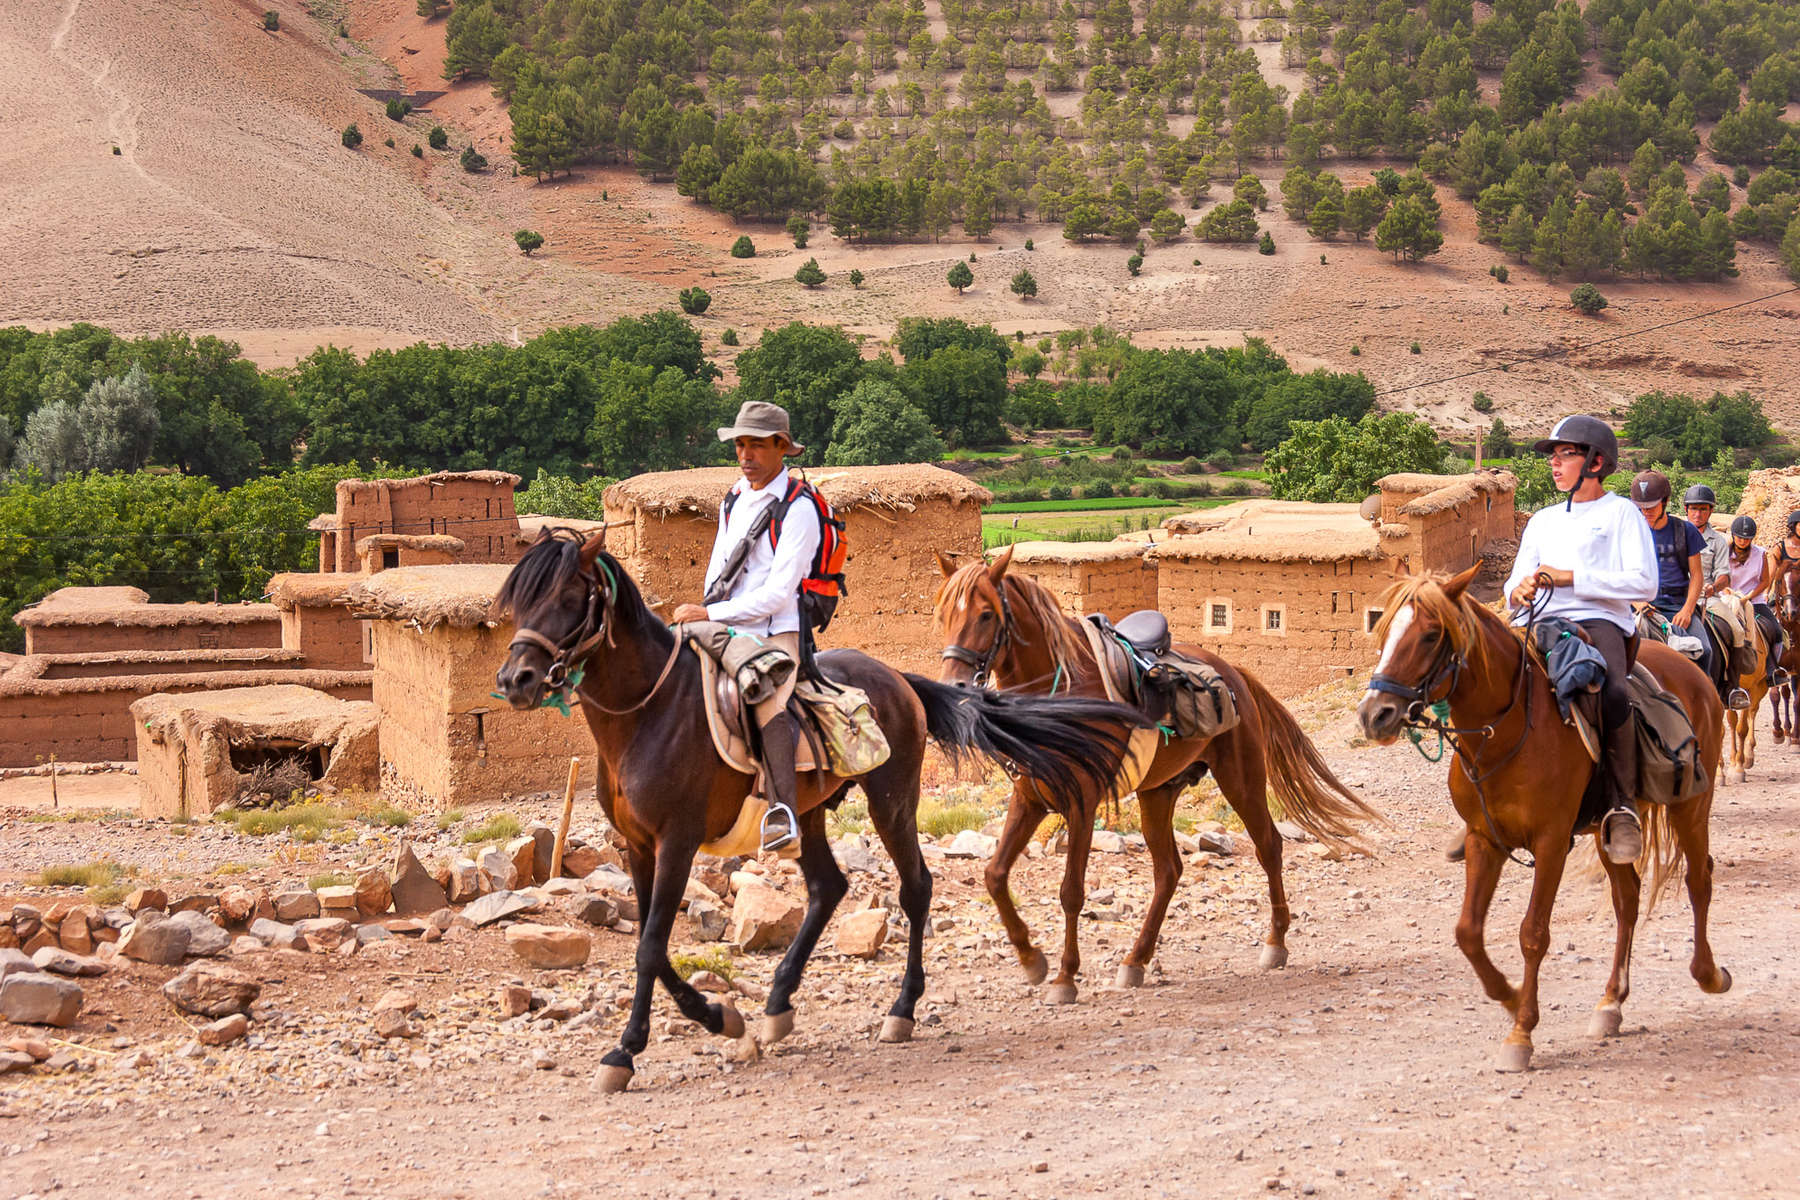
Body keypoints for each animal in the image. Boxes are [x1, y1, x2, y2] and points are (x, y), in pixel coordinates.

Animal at [493, 528, 1137, 1093]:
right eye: (519, 599)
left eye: (569, 598)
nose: (515, 678)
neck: (649, 713)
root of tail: (898, 678)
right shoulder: (637, 845)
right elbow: (652, 947)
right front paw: (716, 1021)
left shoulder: (677, 840)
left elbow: (650, 946)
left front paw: (634, 1049)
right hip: (811, 811)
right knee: (829, 885)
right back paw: (779, 1003)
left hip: (892, 800)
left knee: (915, 887)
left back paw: (901, 1009)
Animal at [928, 550, 1375, 1007]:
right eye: (943, 613)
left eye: (986, 614)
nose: (953, 685)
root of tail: (1234, 671)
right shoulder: (1031, 796)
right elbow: (995, 875)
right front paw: (1032, 958)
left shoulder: (1082, 800)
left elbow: (1071, 892)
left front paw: (1065, 977)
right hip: (1158, 792)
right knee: (1168, 872)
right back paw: (1135, 961)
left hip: (1242, 777)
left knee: (1268, 846)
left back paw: (1275, 943)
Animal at [1360, 568, 1728, 1072]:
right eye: (1382, 630)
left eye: (1432, 635)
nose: (1374, 715)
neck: (1508, 732)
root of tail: (1693, 672)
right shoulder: (1484, 840)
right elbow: (1467, 932)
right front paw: (1511, 996)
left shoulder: (1552, 843)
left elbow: (1533, 934)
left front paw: (1521, 1034)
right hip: (1608, 831)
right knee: (1627, 899)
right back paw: (1611, 1003)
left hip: (1692, 806)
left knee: (1698, 880)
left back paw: (1709, 974)